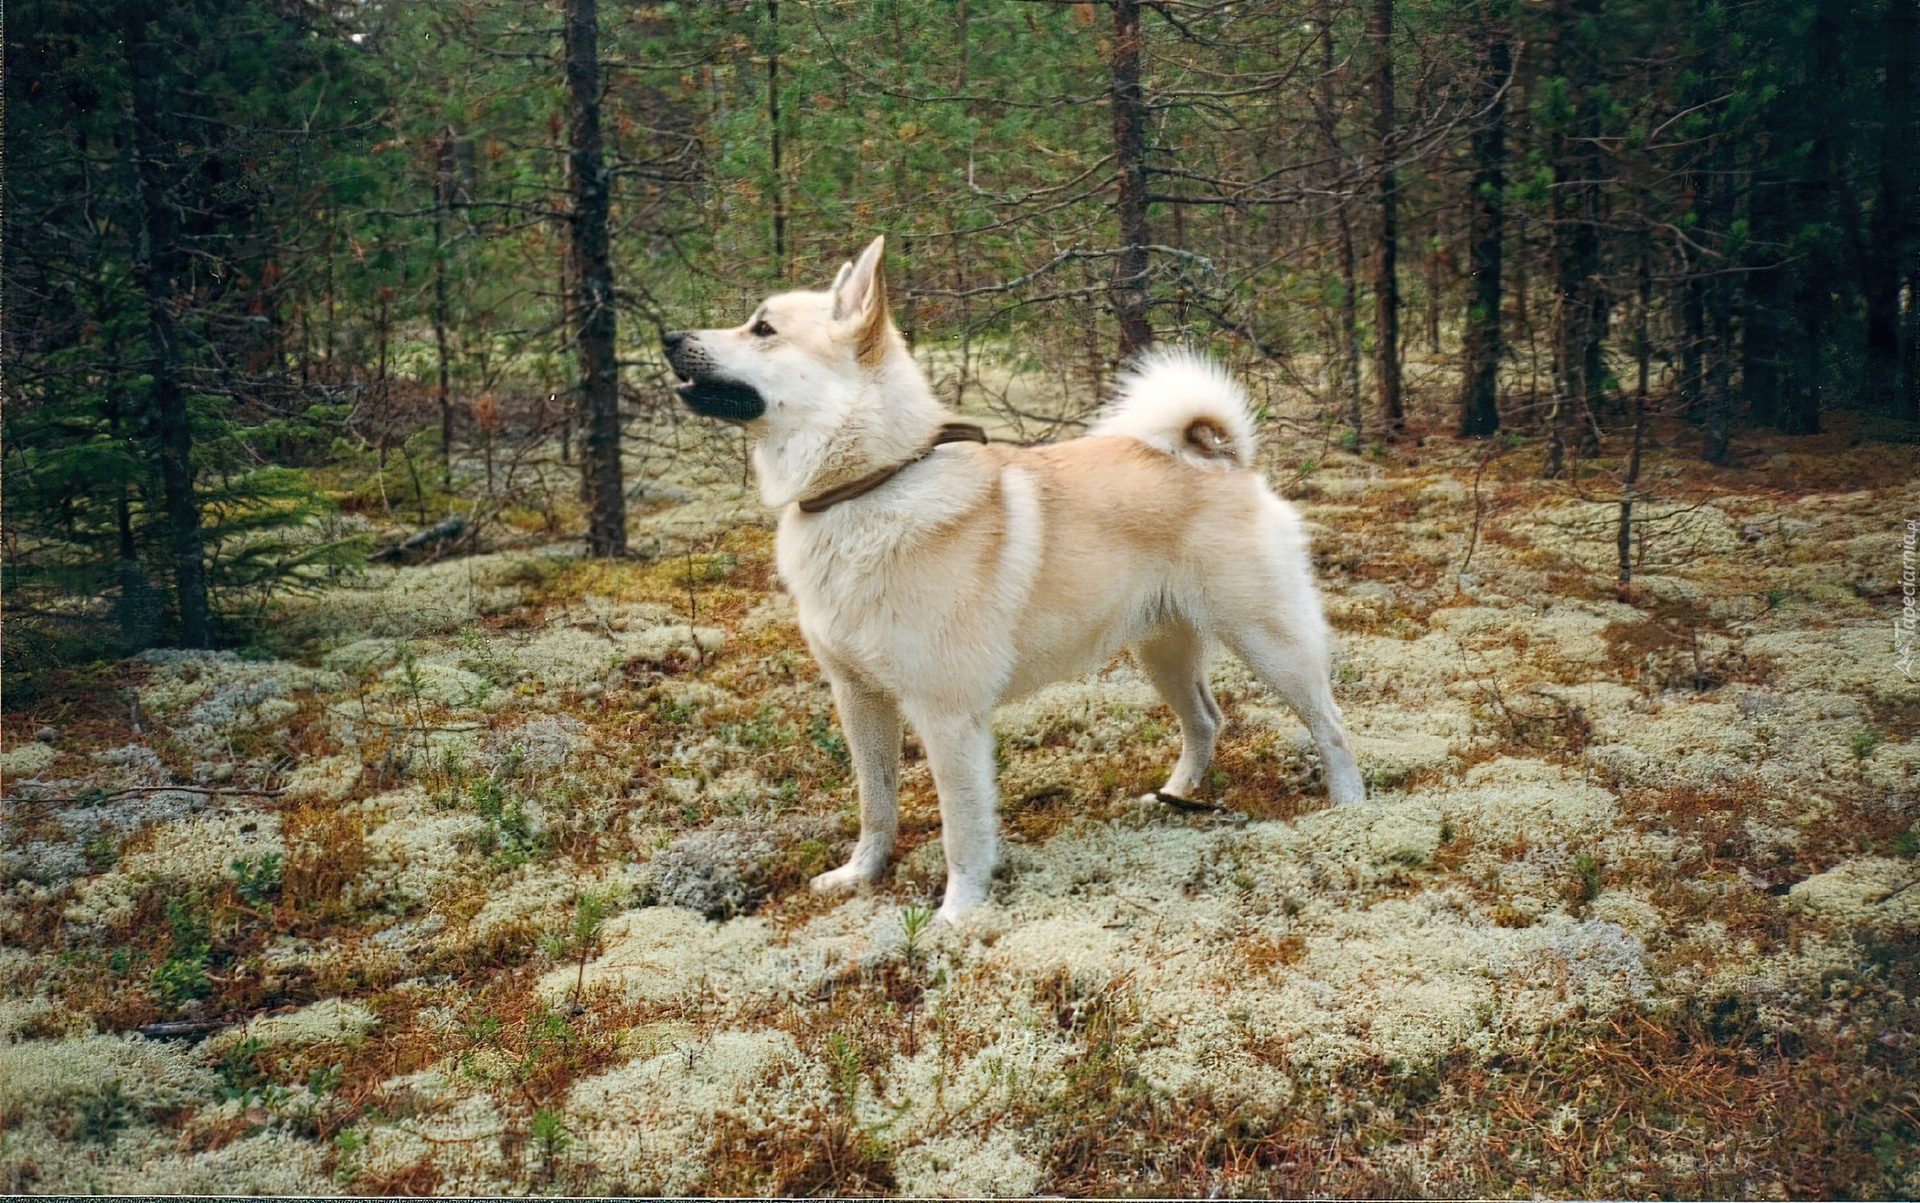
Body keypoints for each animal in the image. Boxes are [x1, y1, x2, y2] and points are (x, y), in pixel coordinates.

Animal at [668, 239, 1374, 928]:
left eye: (763, 329)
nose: (669, 336)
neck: (871, 484)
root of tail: (1220, 458)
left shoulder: (947, 717)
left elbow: (962, 831)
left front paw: (958, 915)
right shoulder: (860, 699)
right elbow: (876, 803)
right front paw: (861, 876)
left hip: (1269, 643)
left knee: (1331, 724)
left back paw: (1349, 810)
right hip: (1162, 652)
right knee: (1205, 719)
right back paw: (1175, 797)